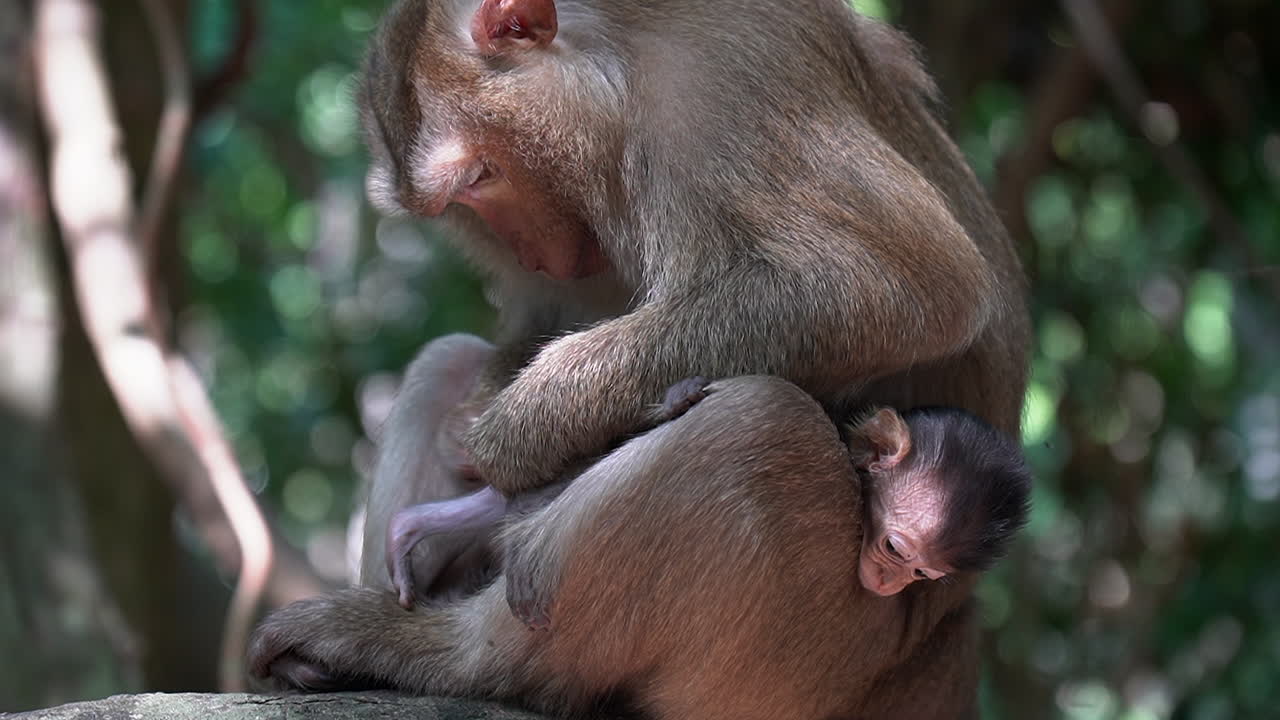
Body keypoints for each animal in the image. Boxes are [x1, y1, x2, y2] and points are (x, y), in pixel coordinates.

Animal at [254, 0, 1031, 715]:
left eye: (478, 178)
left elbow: (902, 286)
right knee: (448, 363)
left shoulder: (716, 101)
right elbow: (537, 325)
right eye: (461, 205)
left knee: (758, 422)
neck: (619, 66)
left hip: (807, 664)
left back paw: (441, 653)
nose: (535, 255)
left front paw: (521, 426)